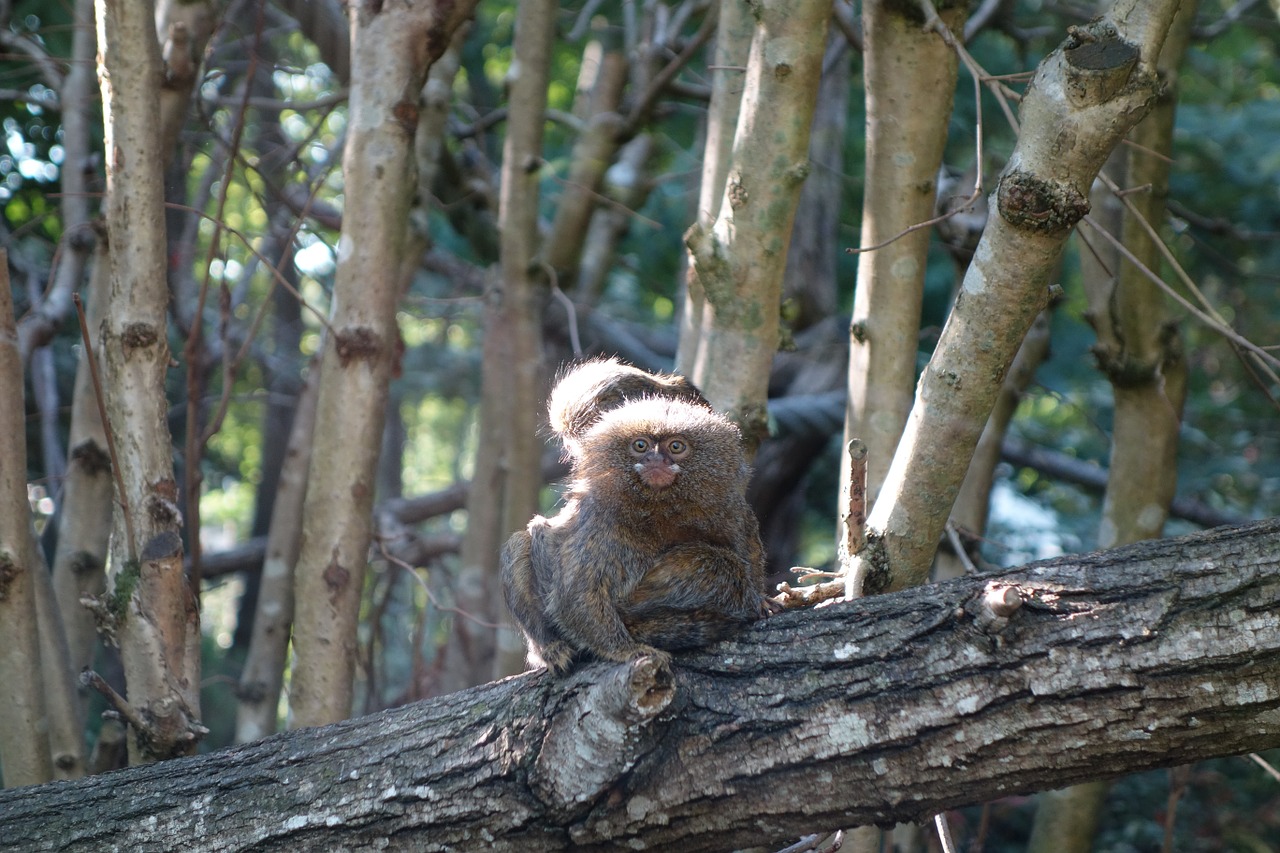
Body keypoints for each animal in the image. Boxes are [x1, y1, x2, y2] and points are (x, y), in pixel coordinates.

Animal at [496, 356, 757, 671]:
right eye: (640, 445)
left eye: (676, 446)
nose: (656, 460)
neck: (661, 509)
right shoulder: (603, 524)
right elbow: (576, 594)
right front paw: (628, 651)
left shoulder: (729, 507)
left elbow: (746, 559)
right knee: (522, 543)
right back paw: (550, 647)